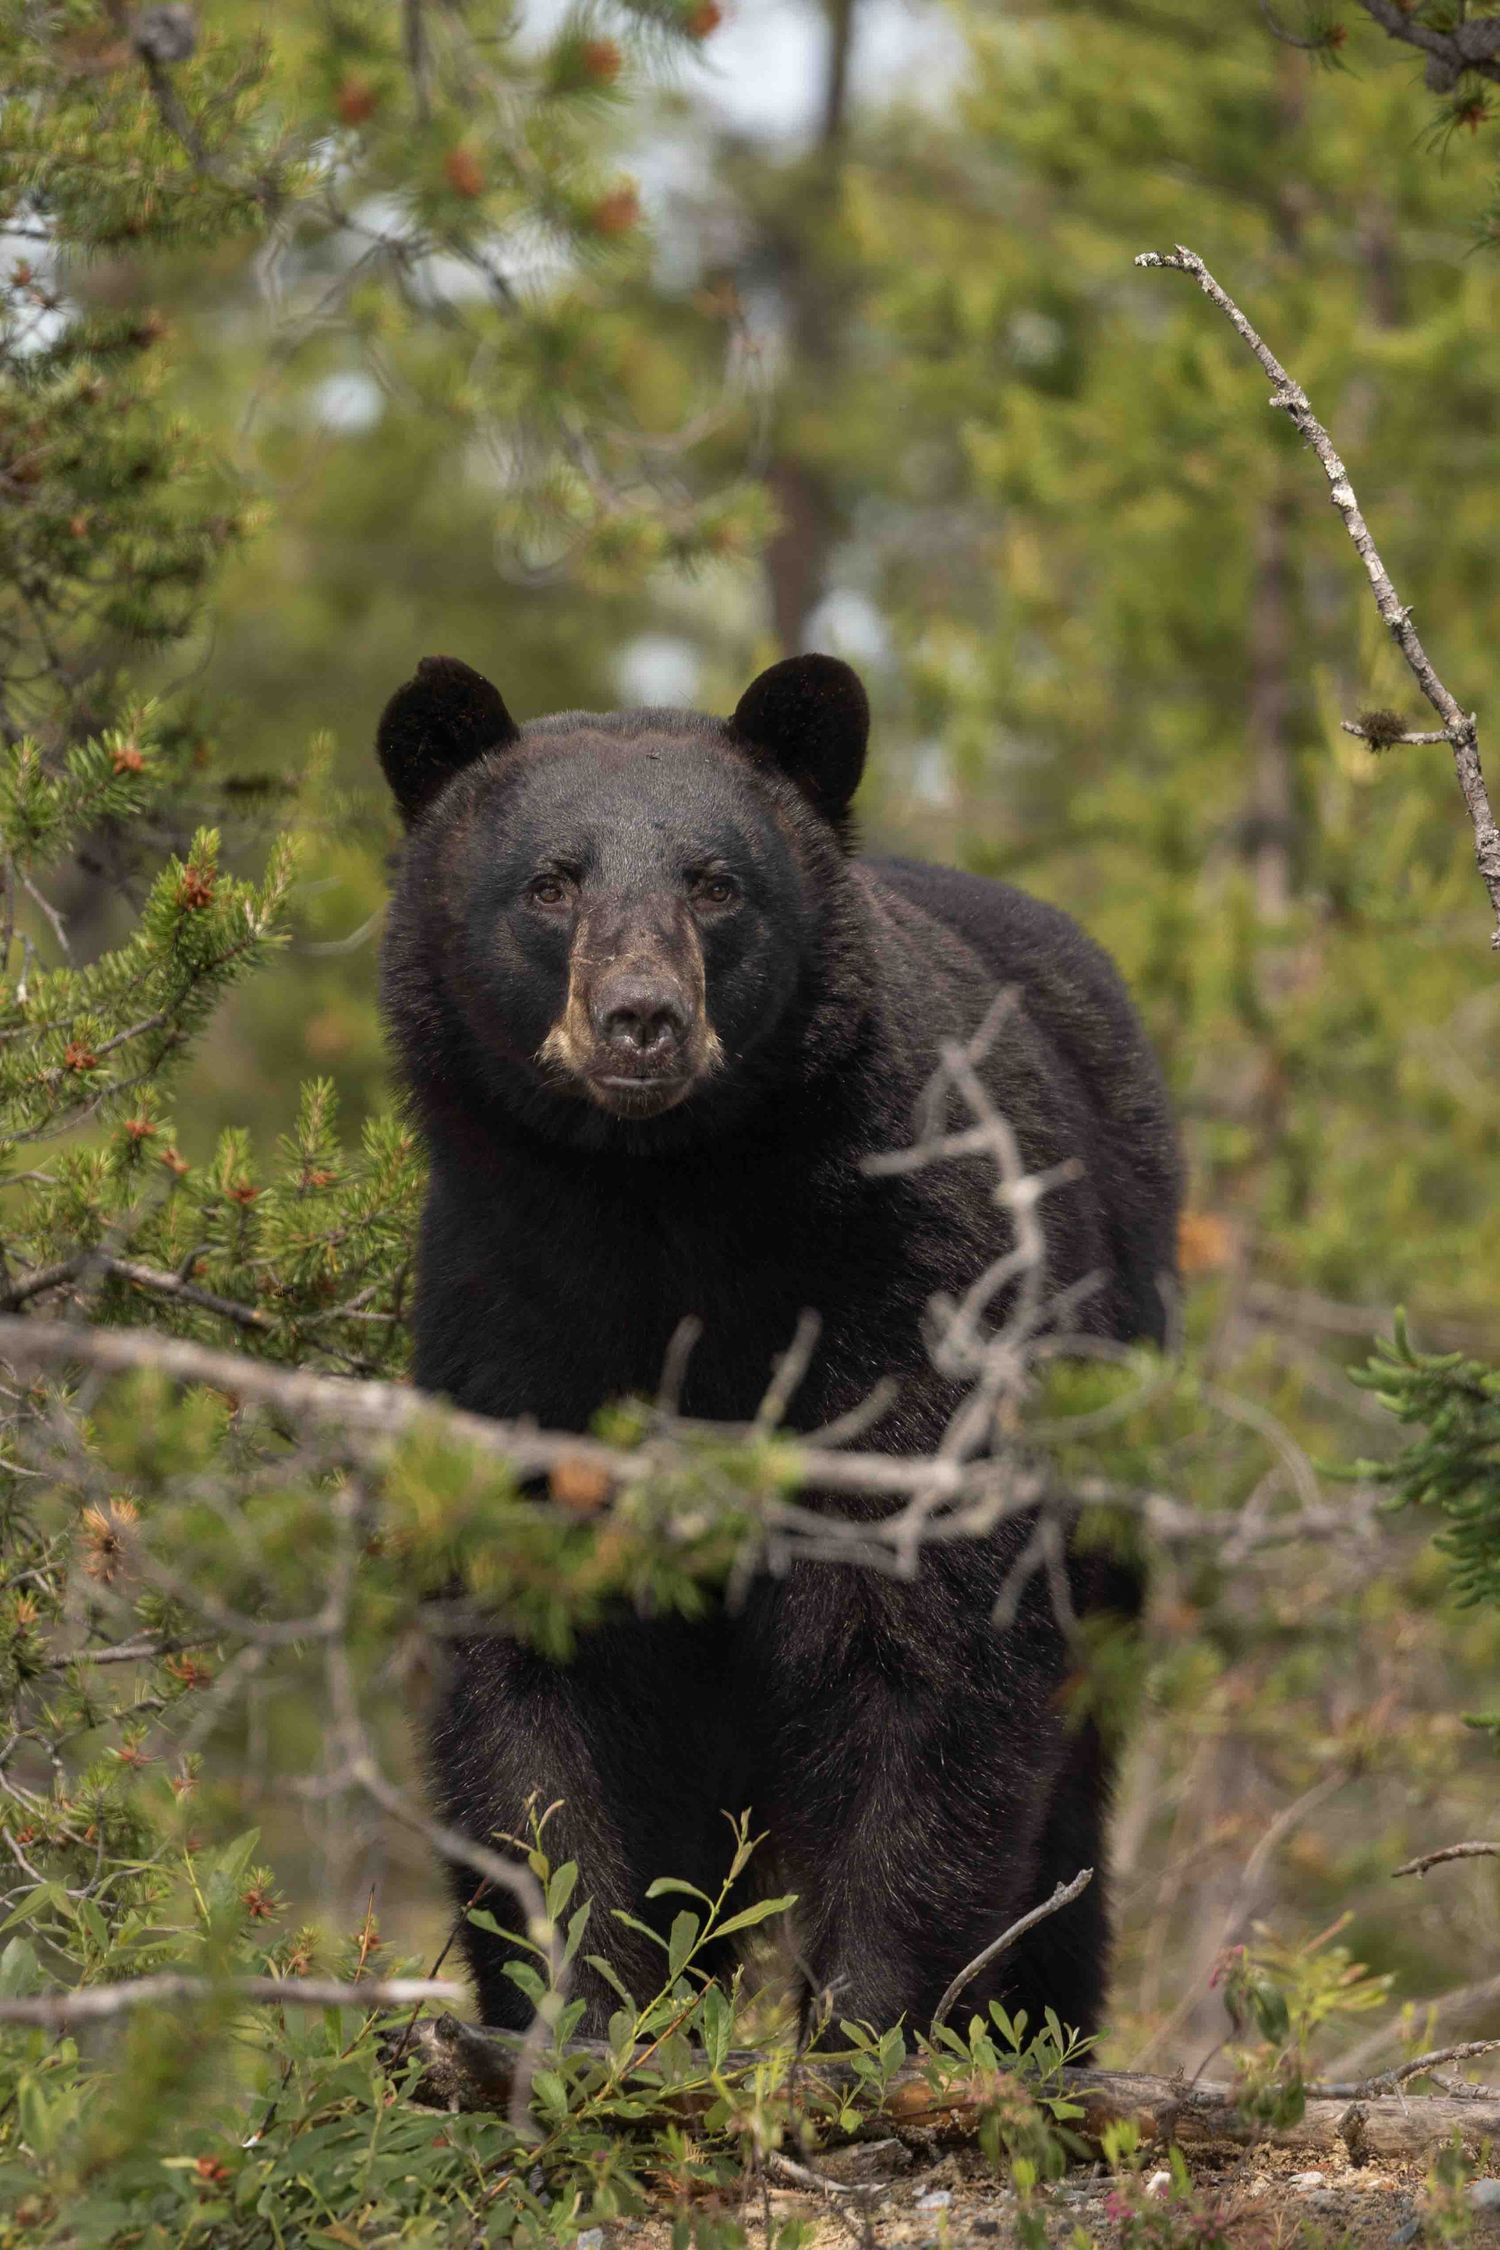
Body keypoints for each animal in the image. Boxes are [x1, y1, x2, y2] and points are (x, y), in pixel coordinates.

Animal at [376, 650, 1181, 2042]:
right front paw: (581, 2015)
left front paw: (866, 2025)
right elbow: (534, 1682)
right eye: (550, 882)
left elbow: (930, 1647)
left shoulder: (918, 1290)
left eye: (715, 883)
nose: (640, 1020)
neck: (670, 1211)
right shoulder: (511, 1318)